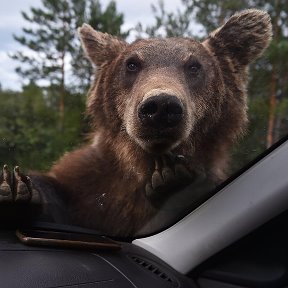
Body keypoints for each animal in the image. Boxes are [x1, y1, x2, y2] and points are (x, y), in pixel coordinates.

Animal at [0, 9, 272, 238]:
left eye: (194, 66)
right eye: (132, 64)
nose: (161, 106)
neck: (141, 164)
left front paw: (171, 182)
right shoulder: (89, 184)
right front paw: (14, 188)